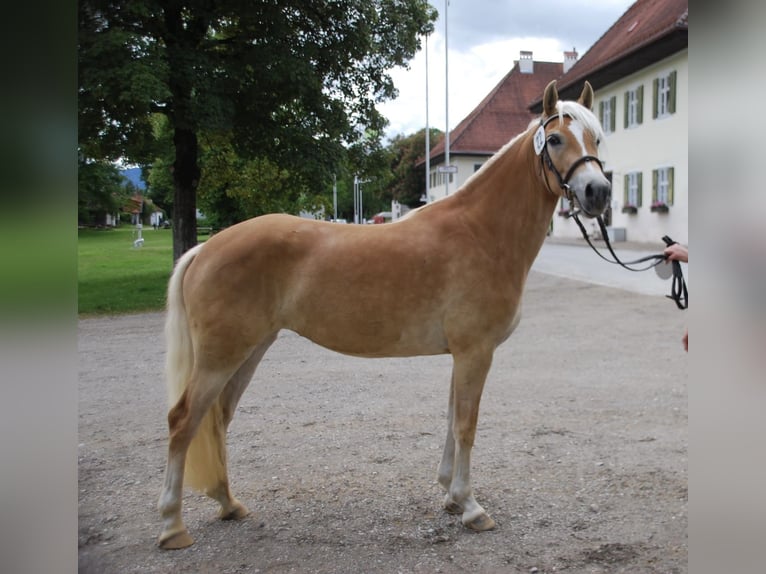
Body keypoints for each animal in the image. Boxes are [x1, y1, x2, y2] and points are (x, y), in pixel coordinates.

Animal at [158, 80, 612, 548]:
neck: (481, 232)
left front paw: (451, 496)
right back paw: (173, 525)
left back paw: (229, 504)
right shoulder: (476, 351)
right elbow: (466, 425)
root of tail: (203, 249)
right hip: (221, 356)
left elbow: (451, 420)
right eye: (554, 139)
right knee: (183, 421)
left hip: (248, 352)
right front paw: (471, 507)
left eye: (597, 138)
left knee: (217, 420)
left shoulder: (462, 354)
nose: (598, 193)